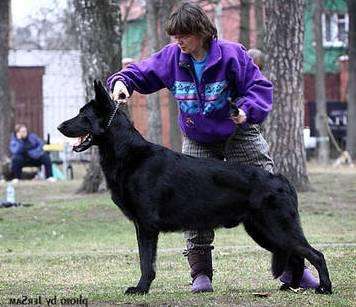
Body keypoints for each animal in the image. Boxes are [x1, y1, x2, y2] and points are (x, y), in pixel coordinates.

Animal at [57, 81, 332, 296]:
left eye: (82, 115)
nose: (59, 127)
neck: (128, 153)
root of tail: (280, 179)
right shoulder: (141, 227)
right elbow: (145, 260)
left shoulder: (146, 227)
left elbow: (146, 263)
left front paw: (141, 288)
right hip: (263, 231)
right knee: (296, 255)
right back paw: (292, 286)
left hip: (276, 229)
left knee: (315, 254)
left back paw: (324, 288)